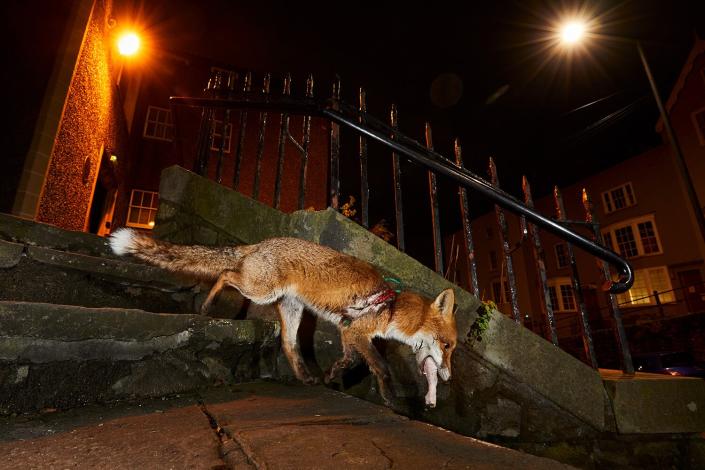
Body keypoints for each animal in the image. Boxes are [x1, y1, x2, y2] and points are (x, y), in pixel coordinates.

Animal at [106, 229, 454, 406]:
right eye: (449, 346)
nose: (448, 378)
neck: (390, 307)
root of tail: (259, 243)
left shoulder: (347, 331)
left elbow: (351, 360)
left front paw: (332, 374)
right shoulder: (358, 332)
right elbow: (380, 366)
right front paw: (389, 397)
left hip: (290, 309)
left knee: (289, 345)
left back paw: (304, 376)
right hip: (261, 291)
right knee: (225, 273)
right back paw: (208, 305)